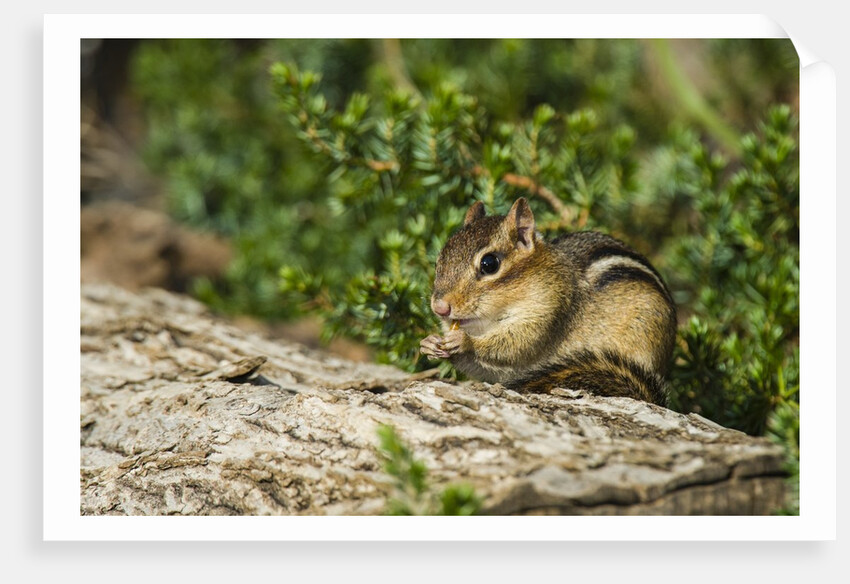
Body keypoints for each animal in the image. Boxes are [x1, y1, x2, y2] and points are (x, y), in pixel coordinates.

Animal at [419, 197, 677, 405]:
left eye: (489, 264)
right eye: (439, 261)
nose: (440, 308)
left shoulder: (550, 310)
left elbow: (516, 345)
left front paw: (465, 341)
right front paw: (430, 343)